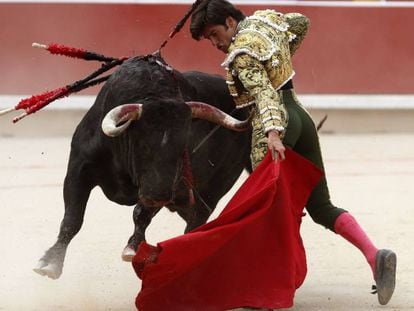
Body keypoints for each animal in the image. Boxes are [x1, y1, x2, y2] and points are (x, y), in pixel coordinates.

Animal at [33, 54, 252, 280]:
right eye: (143, 144)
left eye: (183, 146)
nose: (159, 196)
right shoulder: (79, 167)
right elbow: (72, 219)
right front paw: (50, 262)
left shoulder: (164, 184)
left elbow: (141, 213)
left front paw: (133, 248)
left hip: (209, 193)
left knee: (196, 222)